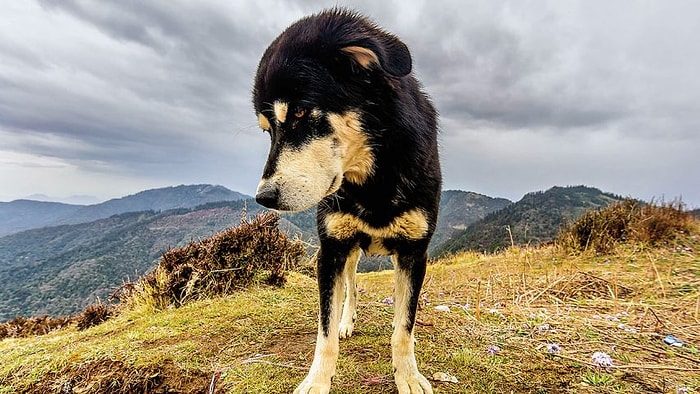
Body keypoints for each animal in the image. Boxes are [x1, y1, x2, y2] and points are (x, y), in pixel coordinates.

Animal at [252, 9, 440, 394]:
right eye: (267, 130)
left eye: (299, 113)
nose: (263, 198)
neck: (373, 180)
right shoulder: (332, 251)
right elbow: (324, 332)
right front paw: (317, 380)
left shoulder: (414, 253)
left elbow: (404, 326)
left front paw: (407, 375)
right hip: (349, 252)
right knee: (352, 287)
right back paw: (347, 320)